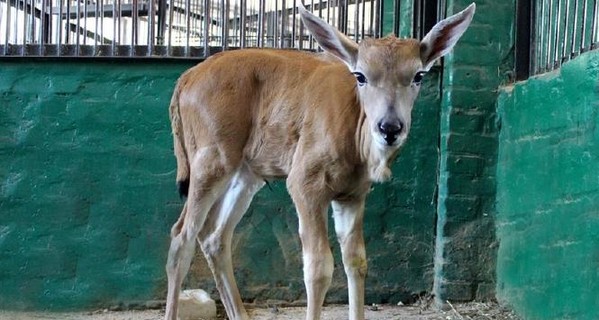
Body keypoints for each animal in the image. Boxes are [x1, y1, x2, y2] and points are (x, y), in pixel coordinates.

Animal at [164, 3, 474, 320]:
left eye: (418, 76)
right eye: (361, 76)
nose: (390, 127)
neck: (355, 130)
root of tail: (187, 79)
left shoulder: (351, 197)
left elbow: (356, 262)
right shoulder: (305, 187)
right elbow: (318, 268)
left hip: (246, 177)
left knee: (214, 237)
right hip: (211, 165)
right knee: (182, 238)